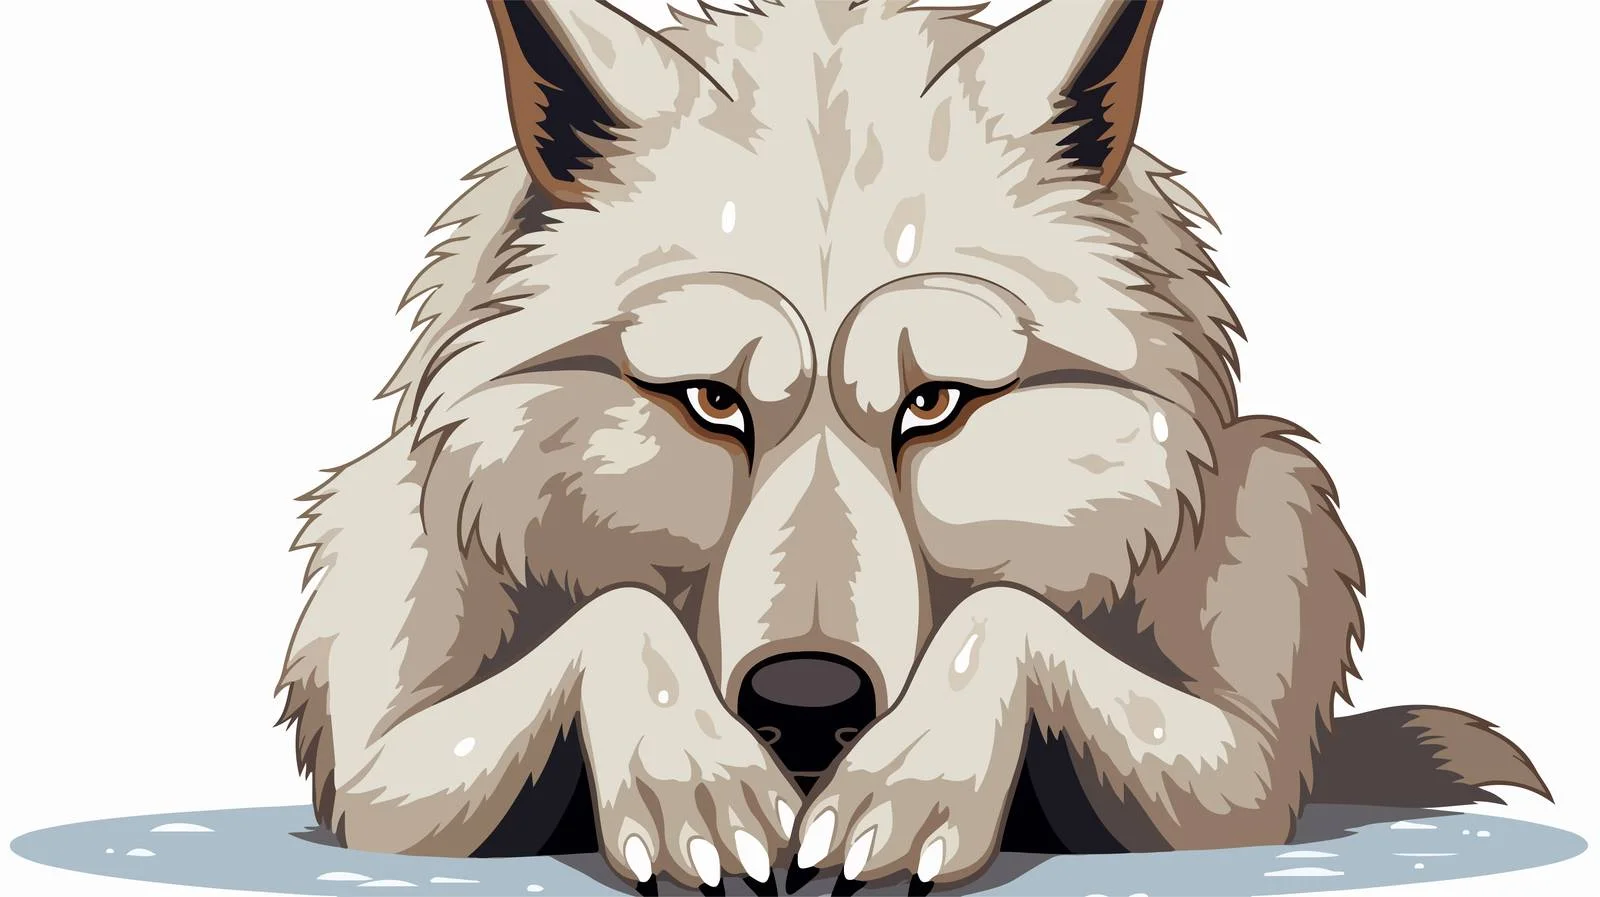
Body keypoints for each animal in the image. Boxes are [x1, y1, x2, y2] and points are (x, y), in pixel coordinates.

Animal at [276, 0, 1550, 893]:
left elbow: (1011, 619)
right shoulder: (385, 770)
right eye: (708, 401)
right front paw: (696, 781)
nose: (804, 703)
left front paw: (914, 783)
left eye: (936, 403)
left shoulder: (1232, 776)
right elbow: (614, 618)